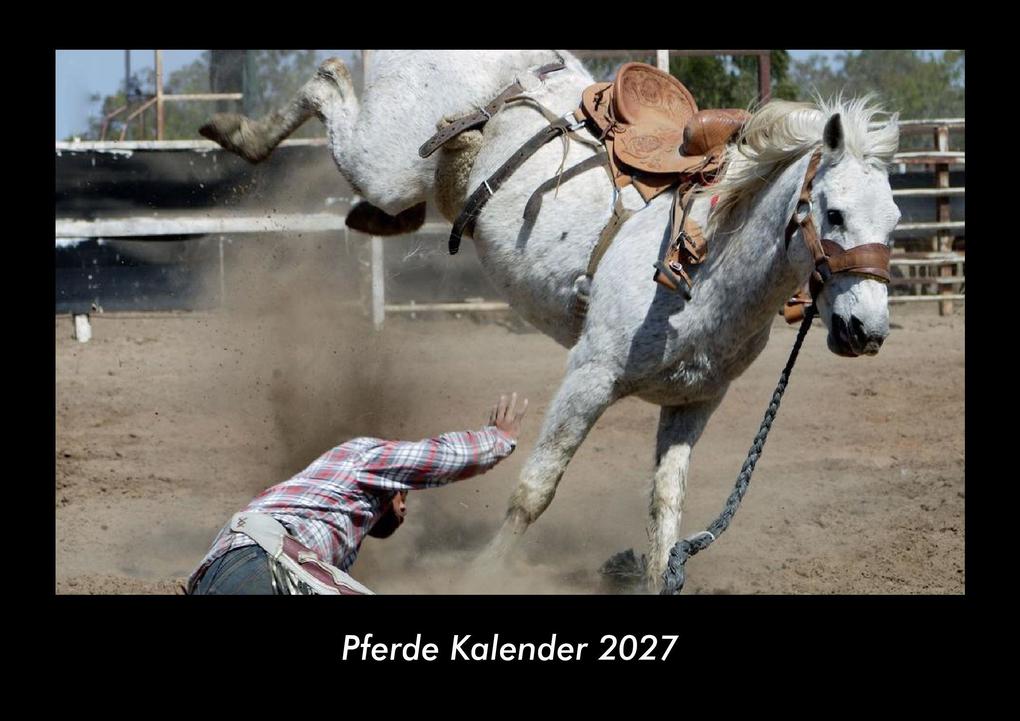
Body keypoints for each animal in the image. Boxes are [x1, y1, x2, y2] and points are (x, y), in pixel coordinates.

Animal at [199, 50, 900, 591]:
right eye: (834, 212)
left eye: (894, 221)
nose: (866, 332)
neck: (707, 259)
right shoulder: (589, 375)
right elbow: (536, 489)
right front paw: (482, 576)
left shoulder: (694, 402)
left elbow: (665, 509)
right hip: (386, 158)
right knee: (328, 80)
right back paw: (236, 131)